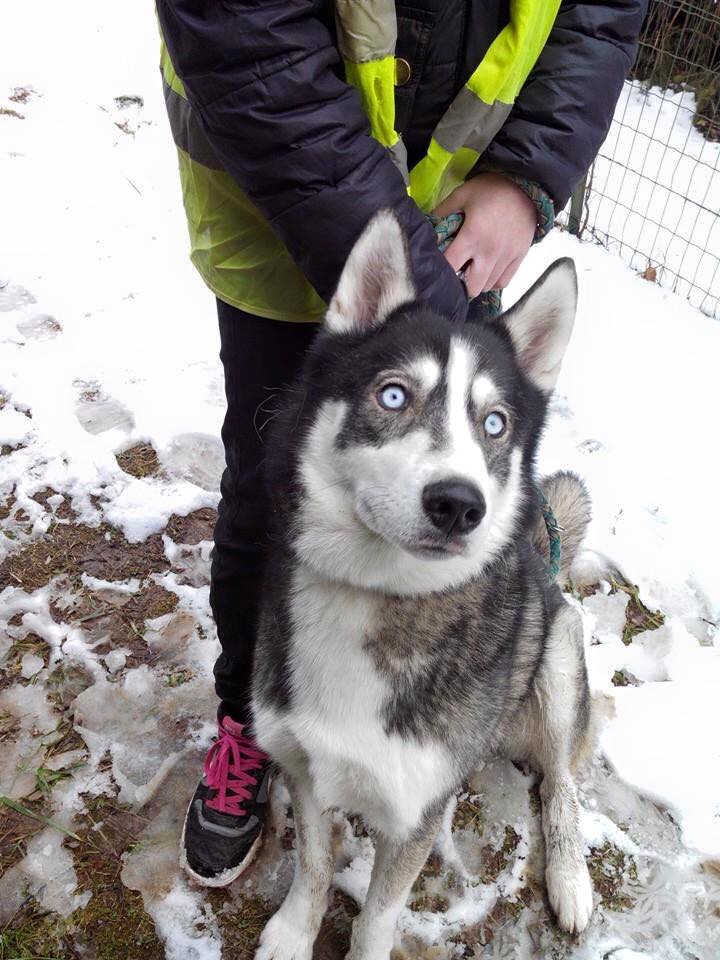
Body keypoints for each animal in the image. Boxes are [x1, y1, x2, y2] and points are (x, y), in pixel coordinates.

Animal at [252, 212, 592, 960]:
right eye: (393, 395)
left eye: (494, 424)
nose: (459, 504)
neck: (379, 596)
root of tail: (542, 557)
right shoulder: (304, 765)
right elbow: (313, 863)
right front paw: (293, 932)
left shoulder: (415, 815)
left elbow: (379, 913)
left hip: (557, 661)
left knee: (562, 781)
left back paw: (572, 876)